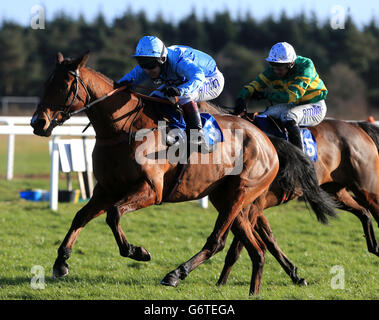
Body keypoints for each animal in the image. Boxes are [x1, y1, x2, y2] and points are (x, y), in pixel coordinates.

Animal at [30, 52, 336, 296]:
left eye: (64, 85)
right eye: (46, 83)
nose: (37, 123)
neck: (123, 127)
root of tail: (267, 138)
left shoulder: (150, 190)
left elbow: (114, 215)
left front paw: (137, 252)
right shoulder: (106, 189)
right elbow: (81, 216)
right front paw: (61, 262)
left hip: (241, 194)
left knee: (218, 241)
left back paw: (176, 274)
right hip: (229, 199)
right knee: (256, 248)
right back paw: (253, 290)